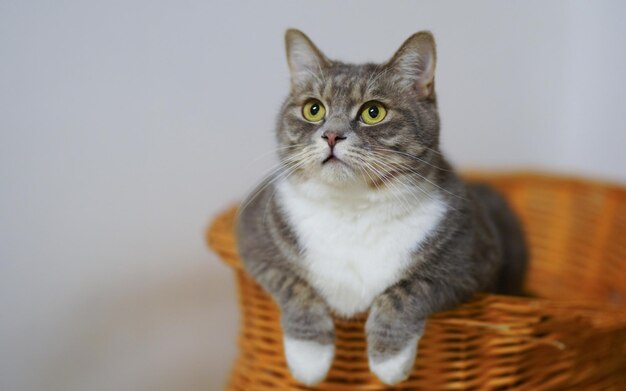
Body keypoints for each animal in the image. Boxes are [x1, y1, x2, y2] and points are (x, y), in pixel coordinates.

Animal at [235, 29, 528, 386]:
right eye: (313, 109)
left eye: (373, 112)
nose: (331, 135)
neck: (353, 209)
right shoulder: (254, 237)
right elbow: (293, 284)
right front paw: (309, 357)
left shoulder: (470, 258)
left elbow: (408, 289)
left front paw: (389, 360)